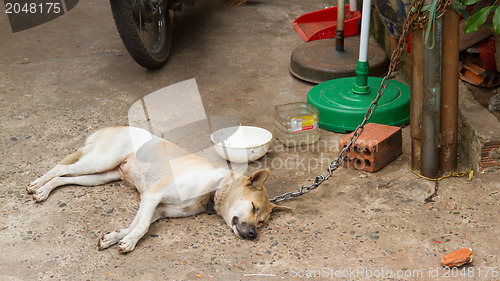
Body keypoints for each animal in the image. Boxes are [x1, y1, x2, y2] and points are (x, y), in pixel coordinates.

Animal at [27, 126, 292, 253]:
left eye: (262, 223)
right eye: (253, 207)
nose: (253, 235)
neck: (212, 187)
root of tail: (112, 127)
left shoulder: (154, 208)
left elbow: (135, 225)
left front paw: (116, 238)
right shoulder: (152, 196)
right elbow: (142, 226)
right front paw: (129, 242)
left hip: (100, 176)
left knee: (65, 178)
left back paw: (45, 189)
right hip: (99, 162)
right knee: (61, 167)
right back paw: (39, 184)